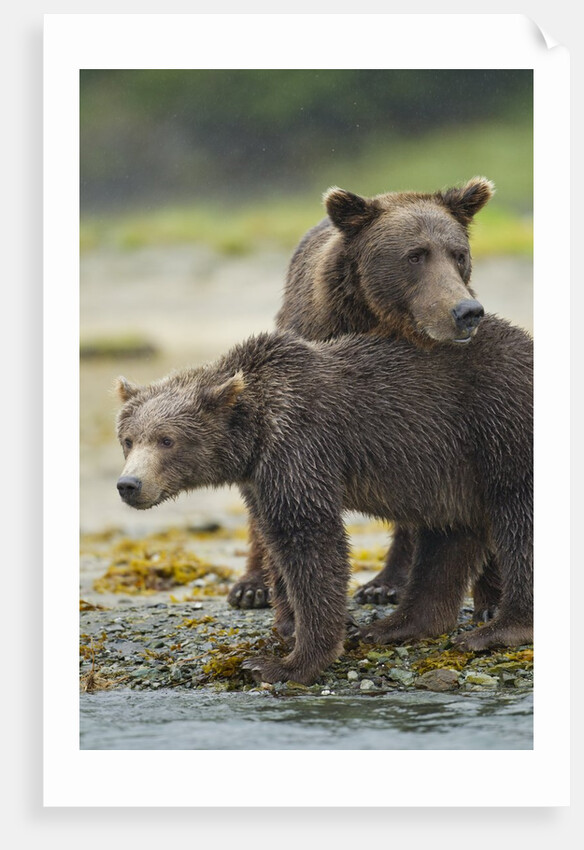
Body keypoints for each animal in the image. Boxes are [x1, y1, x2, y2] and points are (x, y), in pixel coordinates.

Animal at [116, 315, 533, 685]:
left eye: (167, 439)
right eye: (129, 439)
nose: (129, 484)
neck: (255, 433)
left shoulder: (301, 446)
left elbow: (311, 539)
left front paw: (284, 663)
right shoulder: (262, 478)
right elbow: (278, 542)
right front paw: (293, 625)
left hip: (500, 425)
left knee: (516, 521)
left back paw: (498, 629)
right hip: (451, 470)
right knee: (447, 537)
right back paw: (396, 626)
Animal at [227, 177, 497, 614]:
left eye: (459, 254)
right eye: (415, 255)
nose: (466, 311)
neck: (376, 321)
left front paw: (387, 581)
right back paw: (252, 586)